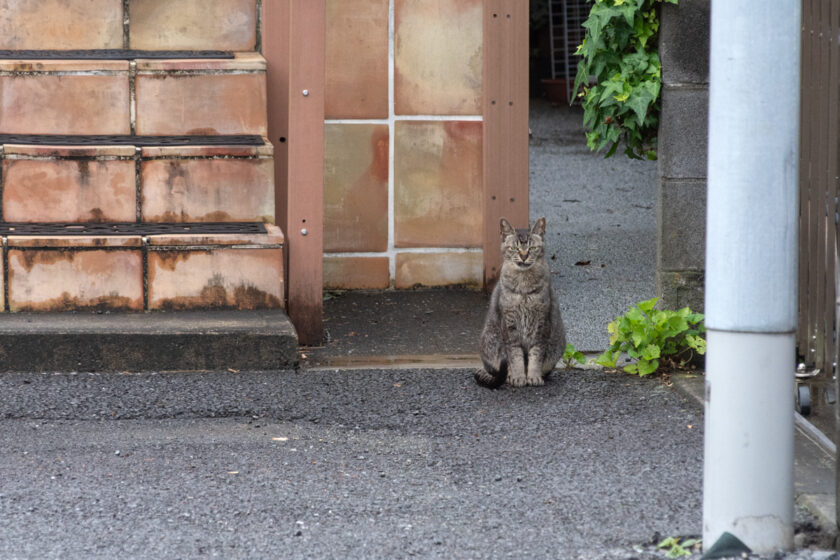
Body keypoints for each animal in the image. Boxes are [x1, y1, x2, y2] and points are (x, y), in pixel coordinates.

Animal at [476, 217, 568, 388]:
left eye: (532, 248)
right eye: (514, 247)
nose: (524, 256)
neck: (524, 285)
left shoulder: (541, 323)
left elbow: (536, 355)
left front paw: (533, 376)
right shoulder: (509, 323)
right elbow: (515, 356)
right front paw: (518, 376)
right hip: (490, 339)